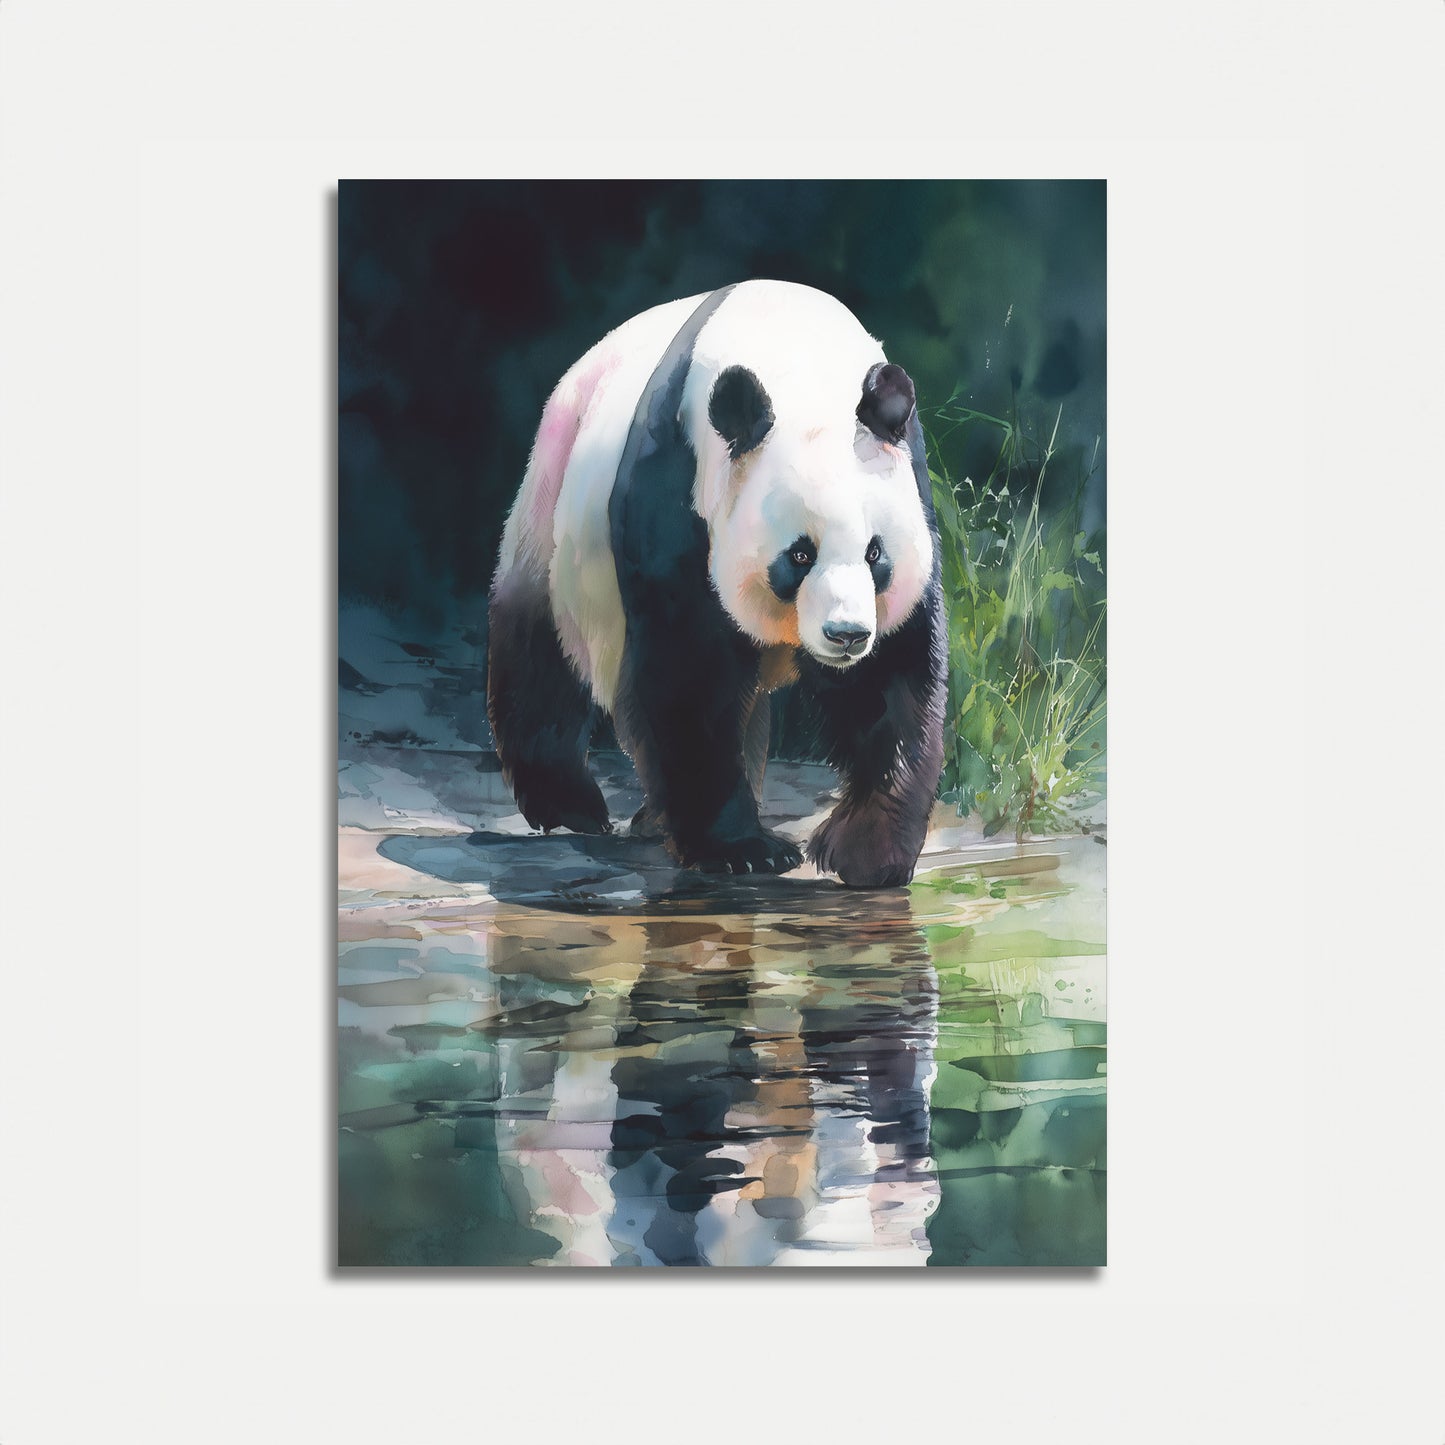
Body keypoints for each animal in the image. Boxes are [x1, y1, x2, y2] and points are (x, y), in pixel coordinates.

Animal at [487, 279, 946, 888]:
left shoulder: (908, 480)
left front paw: (867, 852)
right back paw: (571, 807)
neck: (796, 353)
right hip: (553, 510)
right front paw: (744, 850)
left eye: (875, 553)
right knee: (541, 658)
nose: (845, 635)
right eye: (799, 554)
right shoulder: (675, 481)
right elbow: (686, 669)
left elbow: (893, 677)